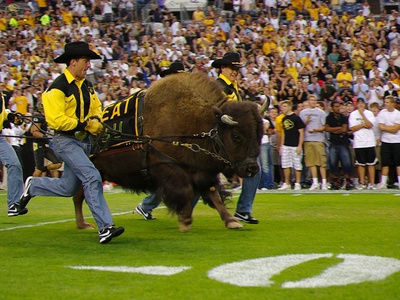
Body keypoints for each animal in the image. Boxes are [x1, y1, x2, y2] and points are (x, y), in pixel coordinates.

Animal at [74, 72, 266, 232]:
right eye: (236, 136)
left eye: (260, 134)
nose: (252, 169)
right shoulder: (169, 168)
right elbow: (187, 191)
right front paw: (185, 221)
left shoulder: (203, 172)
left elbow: (214, 195)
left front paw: (232, 221)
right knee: (79, 196)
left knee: (79, 196)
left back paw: (83, 224)